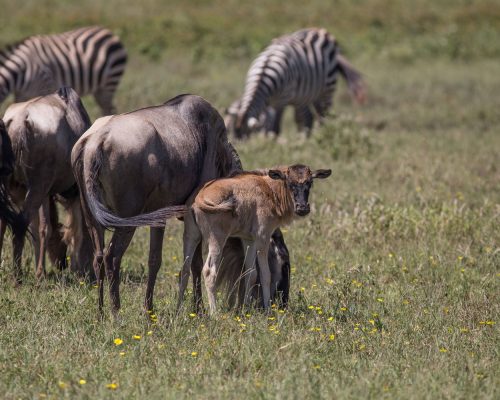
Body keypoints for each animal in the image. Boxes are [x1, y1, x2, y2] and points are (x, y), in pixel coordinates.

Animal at [180, 164, 332, 314]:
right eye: (290, 183)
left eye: (310, 182)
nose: (302, 208)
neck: (269, 189)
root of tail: (199, 198)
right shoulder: (262, 238)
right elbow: (266, 275)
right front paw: (268, 310)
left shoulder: (249, 240)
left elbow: (251, 273)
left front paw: (246, 309)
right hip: (217, 239)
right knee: (209, 271)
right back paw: (214, 313)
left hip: (191, 236)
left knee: (185, 270)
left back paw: (178, 309)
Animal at [226, 27, 364, 138]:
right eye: (231, 132)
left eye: (246, 134)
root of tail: (320, 30)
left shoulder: (281, 101)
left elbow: (275, 128)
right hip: (305, 95)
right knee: (308, 118)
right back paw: (305, 139)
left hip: (327, 89)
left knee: (324, 117)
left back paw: (324, 136)